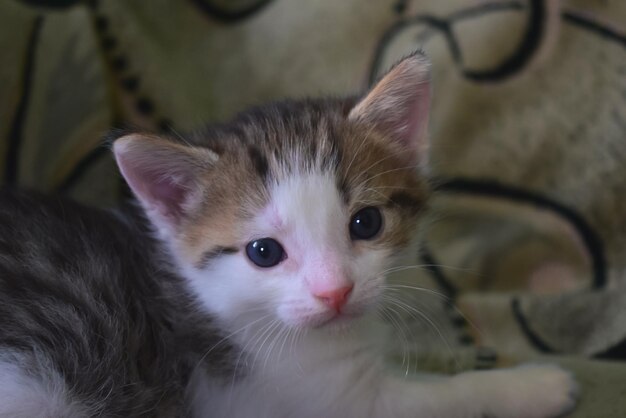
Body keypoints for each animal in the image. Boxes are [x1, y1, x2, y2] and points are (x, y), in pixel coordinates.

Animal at [0, 53, 576, 418]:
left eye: (366, 223)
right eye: (263, 252)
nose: (335, 292)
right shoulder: (315, 400)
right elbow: (439, 397)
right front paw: (534, 385)